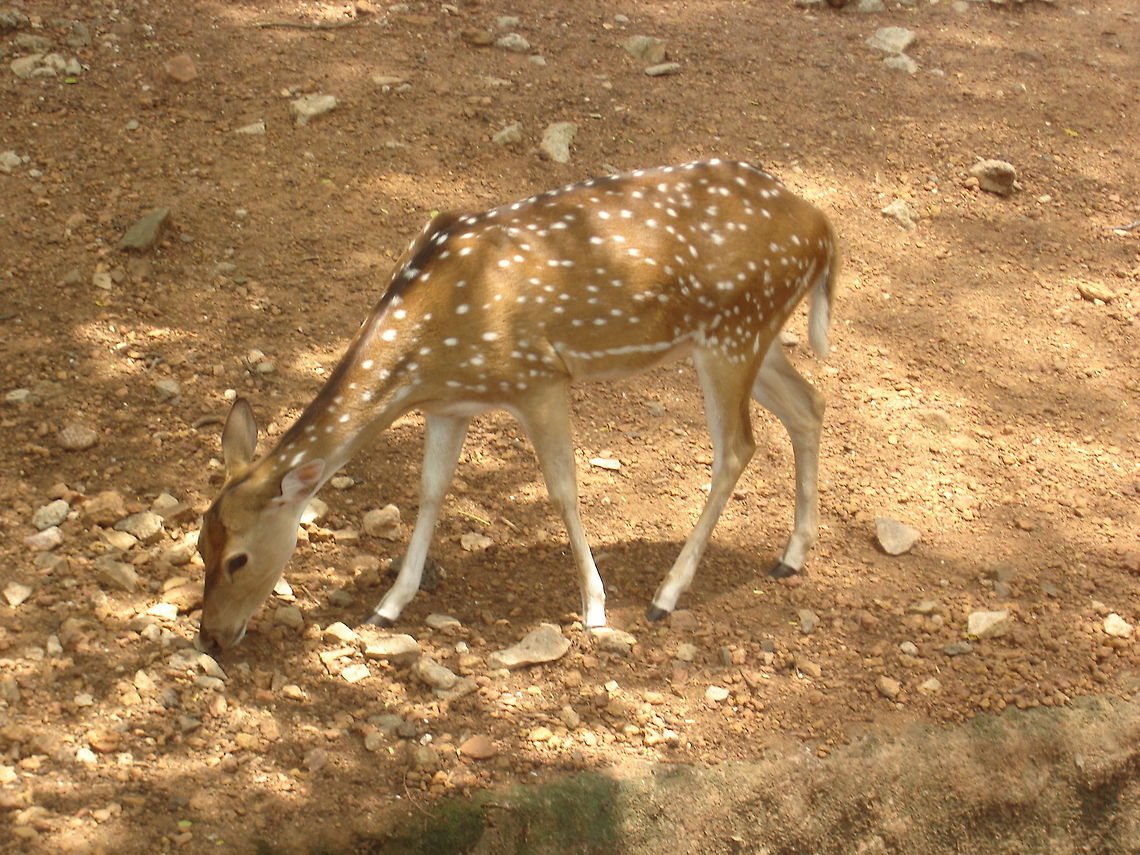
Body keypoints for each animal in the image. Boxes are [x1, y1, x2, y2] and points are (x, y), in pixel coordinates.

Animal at [197, 160, 839, 654]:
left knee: (737, 446)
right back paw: (790, 556)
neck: (432, 340)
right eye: (200, 545)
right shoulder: (450, 405)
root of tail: (823, 227)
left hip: (732, 332)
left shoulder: (538, 378)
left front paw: (595, 608)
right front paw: (389, 604)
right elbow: (430, 492)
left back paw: (666, 593)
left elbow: (562, 489)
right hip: (754, 334)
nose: (211, 637)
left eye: (239, 560)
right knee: (809, 404)